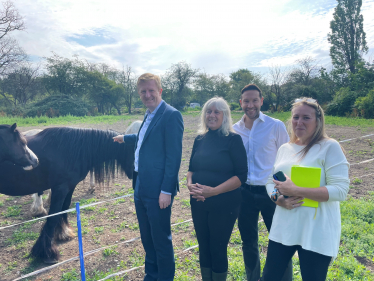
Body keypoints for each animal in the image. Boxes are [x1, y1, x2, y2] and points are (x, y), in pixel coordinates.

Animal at [0, 127, 134, 262]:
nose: (134, 175)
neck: (73, 149)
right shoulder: (60, 189)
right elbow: (53, 216)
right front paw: (46, 252)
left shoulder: (69, 187)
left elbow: (64, 209)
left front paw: (62, 233)